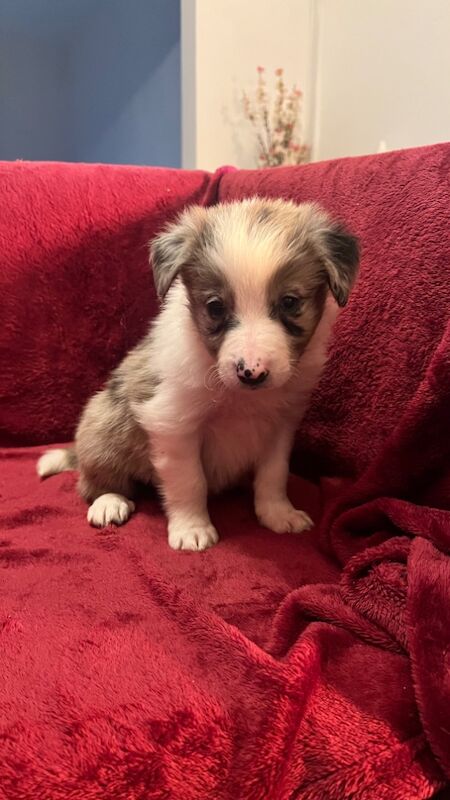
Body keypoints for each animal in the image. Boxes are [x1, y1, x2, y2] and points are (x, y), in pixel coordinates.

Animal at [39, 199, 362, 552]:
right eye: (216, 307)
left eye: (290, 302)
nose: (251, 372)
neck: (239, 396)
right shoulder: (174, 425)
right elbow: (189, 481)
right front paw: (192, 529)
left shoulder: (281, 424)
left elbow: (274, 474)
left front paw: (278, 514)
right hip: (103, 425)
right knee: (96, 480)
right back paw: (109, 501)